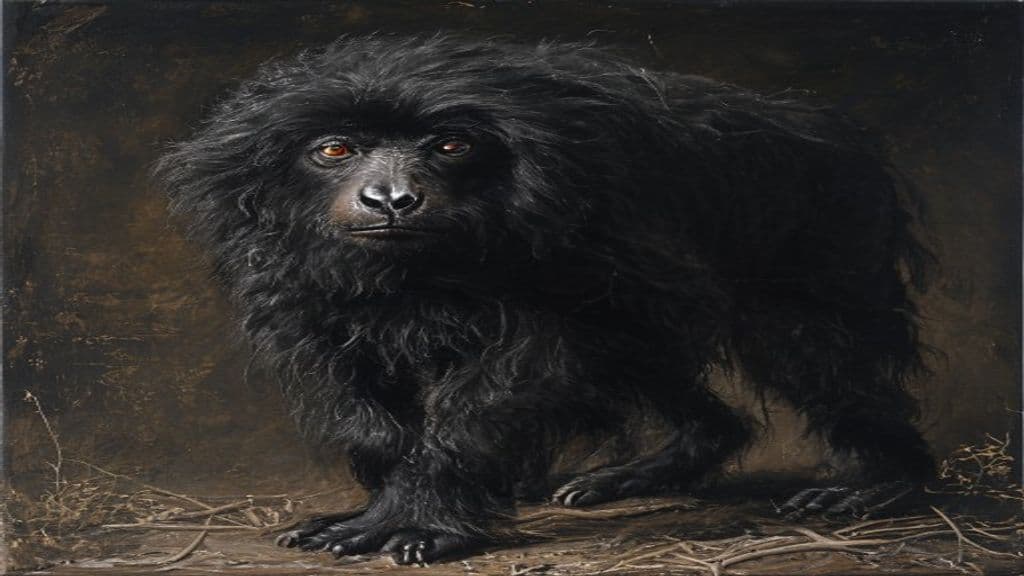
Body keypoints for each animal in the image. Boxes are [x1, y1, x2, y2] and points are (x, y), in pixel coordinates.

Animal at [154, 34, 936, 565]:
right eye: (335, 150)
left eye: (451, 145)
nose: (391, 198)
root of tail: (833, 136)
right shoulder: (314, 317)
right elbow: (370, 424)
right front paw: (374, 506)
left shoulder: (553, 303)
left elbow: (473, 413)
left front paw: (423, 519)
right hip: (646, 321)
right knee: (711, 409)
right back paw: (637, 472)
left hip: (814, 274)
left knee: (827, 365)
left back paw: (879, 486)